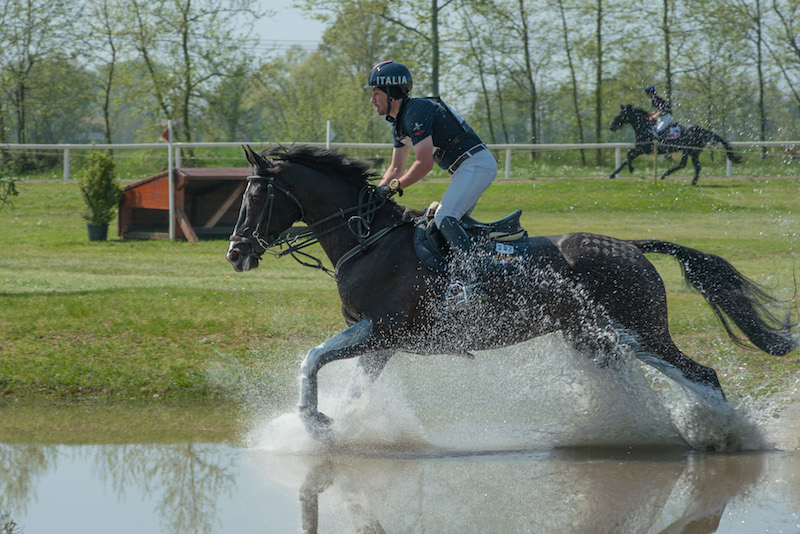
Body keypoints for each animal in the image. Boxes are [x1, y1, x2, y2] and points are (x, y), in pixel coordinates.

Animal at [225, 144, 792, 446]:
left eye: (255, 195)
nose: (235, 253)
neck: (369, 240)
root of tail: (629, 246)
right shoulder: (379, 342)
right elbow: (350, 386)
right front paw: (337, 428)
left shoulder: (381, 331)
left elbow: (311, 357)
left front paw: (314, 424)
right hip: (593, 338)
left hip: (639, 331)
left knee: (703, 375)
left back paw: (723, 435)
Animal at [612, 104, 744, 186]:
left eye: (619, 115)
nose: (611, 126)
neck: (645, 127)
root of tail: (705, 130)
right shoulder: (640, 148)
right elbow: (626, 158)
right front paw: (613, 174)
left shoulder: (645, 148)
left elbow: (629, 154)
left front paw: (631, 168)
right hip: (692, 152)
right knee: (693, 166)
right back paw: (690, 181)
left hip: (689, 150)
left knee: (685, 165)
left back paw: (666, 175)